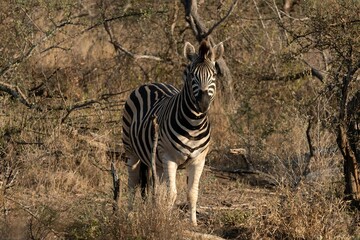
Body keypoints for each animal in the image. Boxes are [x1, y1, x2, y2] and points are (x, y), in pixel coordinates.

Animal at [121, 39, 222, 225]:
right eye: (192, 75)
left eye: (214, 75)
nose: (203, 104)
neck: (194, 125)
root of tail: (151, 83)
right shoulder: (169, 158)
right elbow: (171, 194)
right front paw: (166, 222)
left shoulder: (199, 160)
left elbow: (192, 194)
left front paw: (193, 223)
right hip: (131, 150)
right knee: (132, 182)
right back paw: (128, 215)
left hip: (157, 161)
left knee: (156, 189)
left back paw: (155, 210)